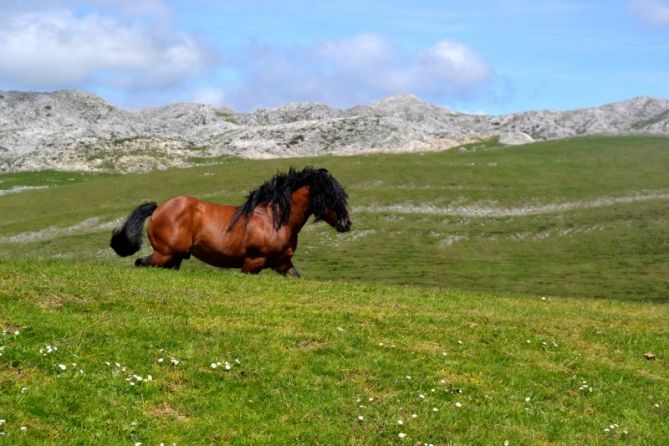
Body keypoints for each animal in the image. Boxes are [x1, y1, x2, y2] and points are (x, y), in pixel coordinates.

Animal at [108, 166, 350, 278]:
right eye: (331, 197)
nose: (346, 224)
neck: (274, 220)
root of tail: (158, 209)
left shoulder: (283, 263)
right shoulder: (252, 263)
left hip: (174, 258)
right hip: (164, 254)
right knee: (140, 263)